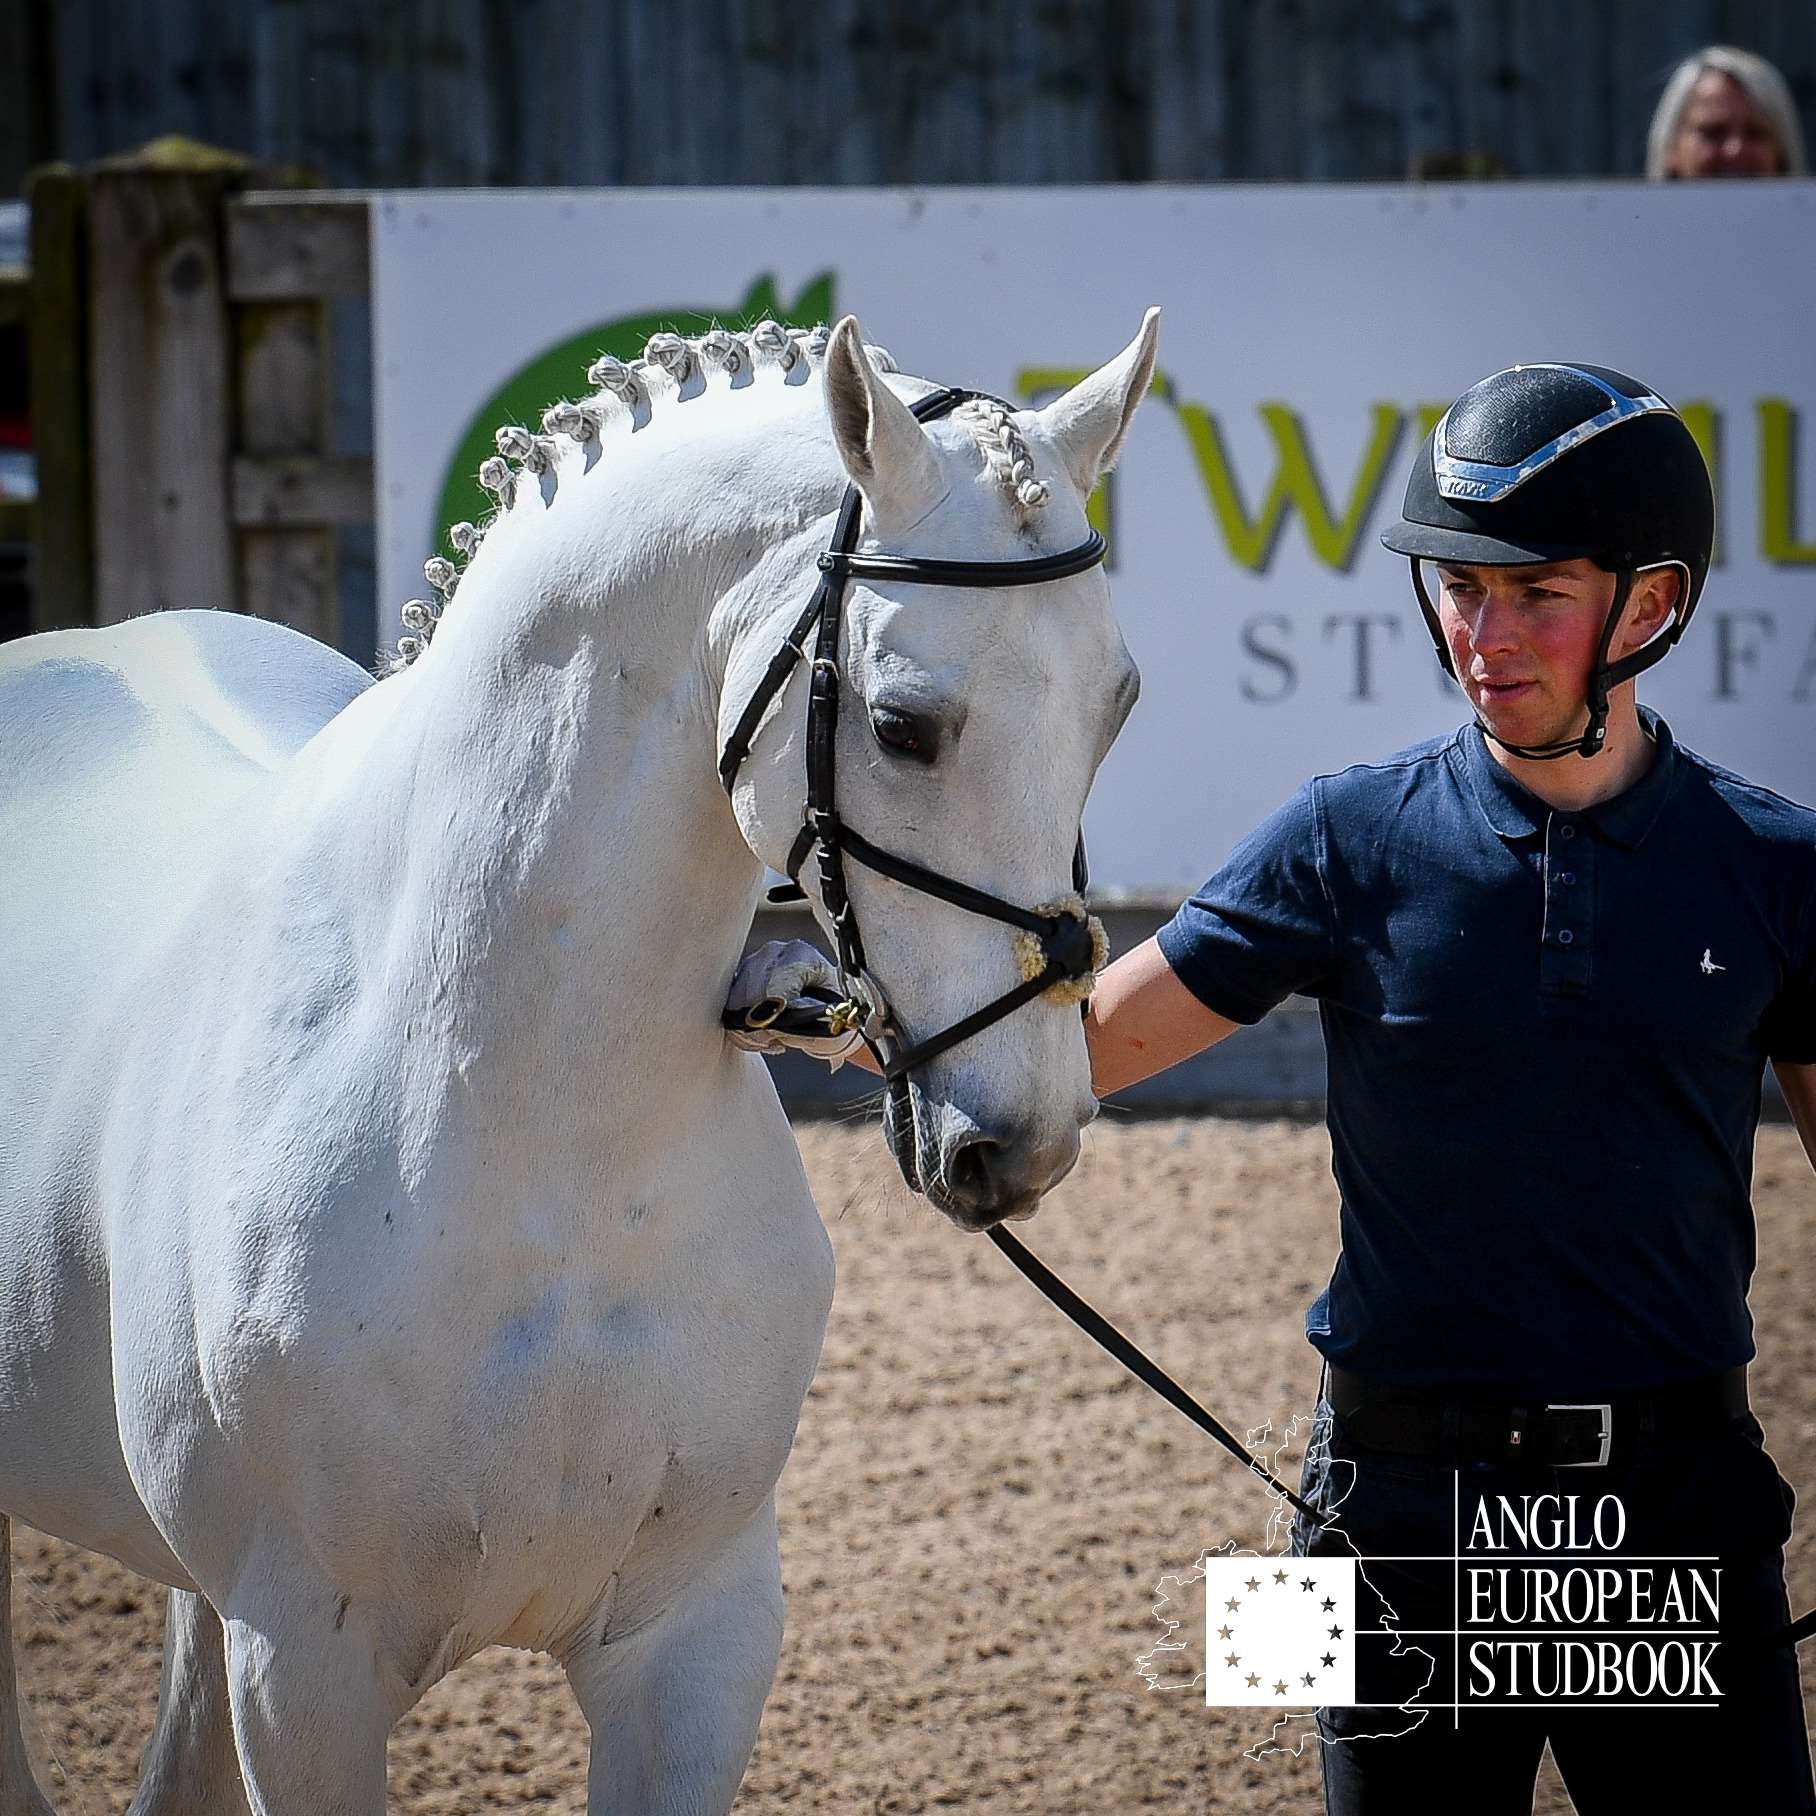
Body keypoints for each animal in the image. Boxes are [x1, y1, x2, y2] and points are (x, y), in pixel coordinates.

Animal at [0, 306, 1158, 1814]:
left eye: (1114, 704)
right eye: (905, 726)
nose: (1024, 1139)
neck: (540, 1138)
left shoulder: (693, 1643)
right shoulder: (304, 1671)